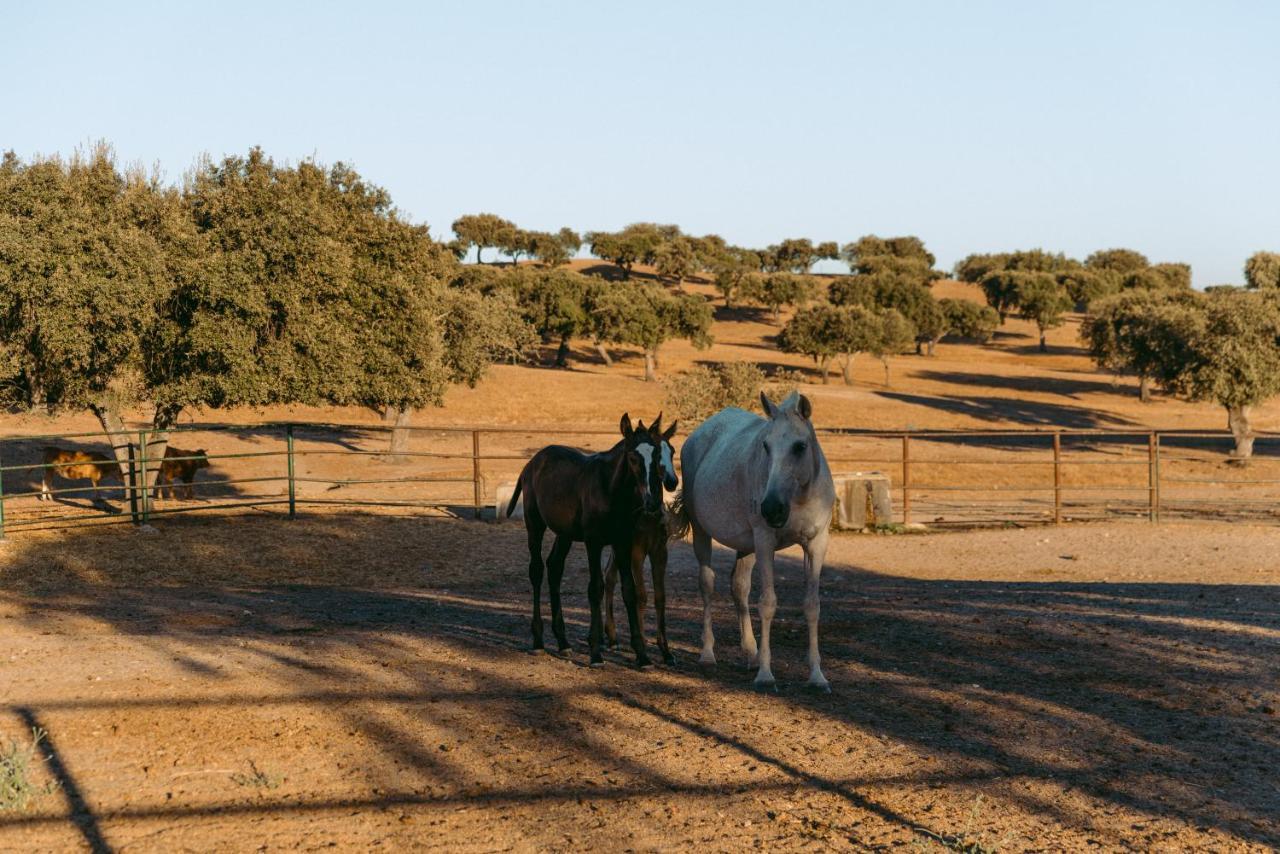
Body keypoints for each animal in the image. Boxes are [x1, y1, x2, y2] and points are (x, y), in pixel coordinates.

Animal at [504, 414, 665, 665]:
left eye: (657, 454)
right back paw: (538, 641)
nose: (653, 501)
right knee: (537, 570)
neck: (611, 490)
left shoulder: (623, 542)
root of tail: (531, 464)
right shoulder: (594, 543)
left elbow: (628, 590)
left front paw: (642, 655)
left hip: (565, 534)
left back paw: (563, 642)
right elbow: (595, 588)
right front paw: (596, 653)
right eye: (632, 457)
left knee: (554, 568)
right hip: (535, 524)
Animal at [606, 414, 680, 665]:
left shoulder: (659, 552)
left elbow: (659, 596)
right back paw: (612, 638)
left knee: (609, 576)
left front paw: (666, 651)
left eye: (672, 451)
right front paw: (643, 648)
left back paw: (612, 637)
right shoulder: (636, 552)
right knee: (608, 578)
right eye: (657, 451)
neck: (648, 515)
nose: (672, 481)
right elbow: (641, 595)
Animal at [670, 391, 839, 691]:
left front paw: (817, 676)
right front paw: (765, 675)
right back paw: (708, 654)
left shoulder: (816, 543)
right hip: (704, 534)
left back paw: (751, 654)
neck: (798, 498)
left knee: (739, 587)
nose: (771, 508)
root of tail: (698, 434)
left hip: (745, 547)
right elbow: (768, 603)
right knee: (707, 585)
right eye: (766, 446)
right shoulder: (765, 541)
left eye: (800, 446)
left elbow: (812, 605)